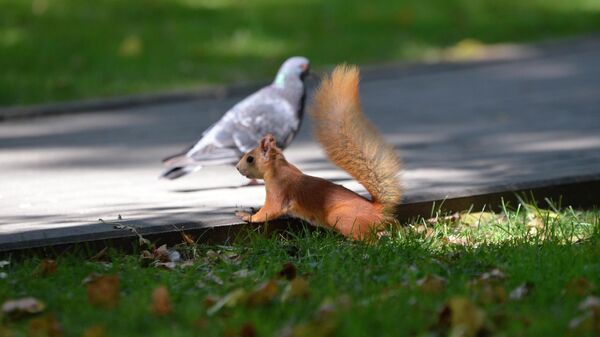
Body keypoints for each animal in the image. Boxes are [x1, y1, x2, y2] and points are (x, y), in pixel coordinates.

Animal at [234, 65, 404, 239]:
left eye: (250, 158)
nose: (237, 167)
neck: (277, 168)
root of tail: (378, 212)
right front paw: (252, 208)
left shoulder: (278, 191)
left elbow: (268, 212)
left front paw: (247, 216)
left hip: (343, 219)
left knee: (368, 239)